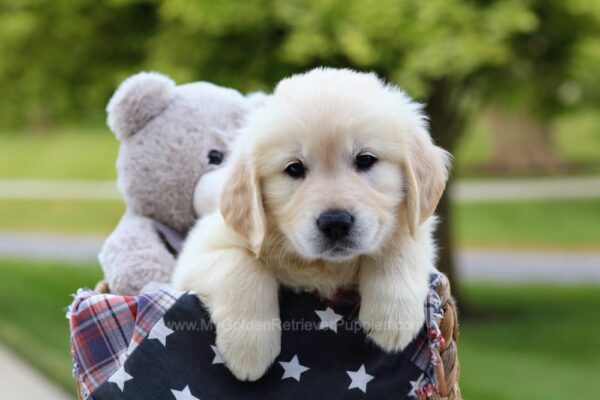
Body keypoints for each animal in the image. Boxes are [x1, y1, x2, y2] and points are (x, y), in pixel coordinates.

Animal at [173, 68, 450, 382]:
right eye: (294, 168)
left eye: (365, 160)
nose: (335, 223)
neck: (324, 267)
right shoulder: (201, 249)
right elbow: (241, 265)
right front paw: (250, 347)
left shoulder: (415, 224)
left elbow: (400, 243)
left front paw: (392, 317)